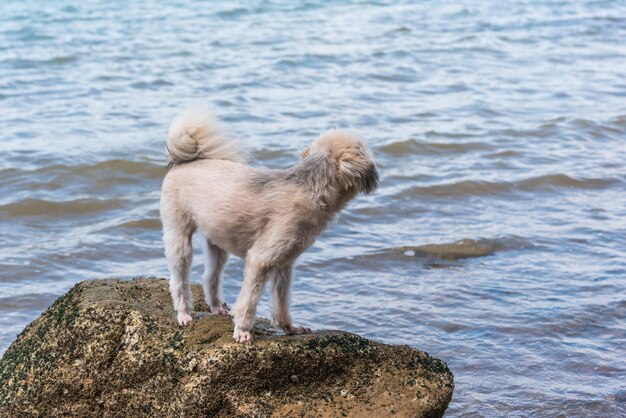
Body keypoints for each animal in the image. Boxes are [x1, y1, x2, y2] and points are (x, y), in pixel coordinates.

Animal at [158, 109, 378, 344]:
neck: (310, 188)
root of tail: (184, 162)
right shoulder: (260, 260)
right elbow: (249, 300)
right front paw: (242, 331)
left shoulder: (284, 263)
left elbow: (281, 301)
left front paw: (289, 328)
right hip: (178, 235)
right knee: (179, 280)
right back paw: (183, 314)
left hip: (216, 239)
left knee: (210, 277)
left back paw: (217, 308)